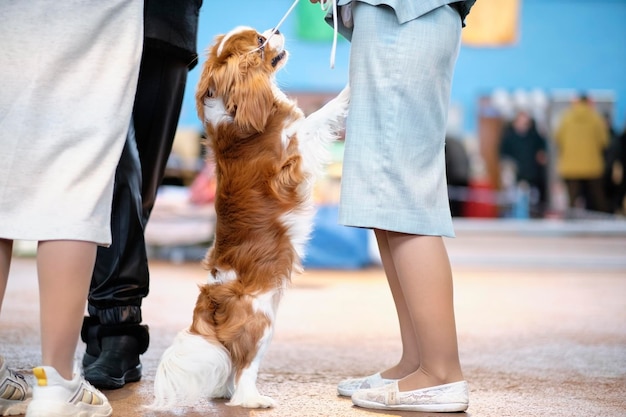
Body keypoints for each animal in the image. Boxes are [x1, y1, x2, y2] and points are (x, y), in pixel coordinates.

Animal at [149, 26, 348, 410]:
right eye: (259, 41)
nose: (277, 29)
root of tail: (211, 300)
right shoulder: (293, 154)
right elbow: (319, 116)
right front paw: (350, 87)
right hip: (261, 324)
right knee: (243, 369)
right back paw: (254, 400)